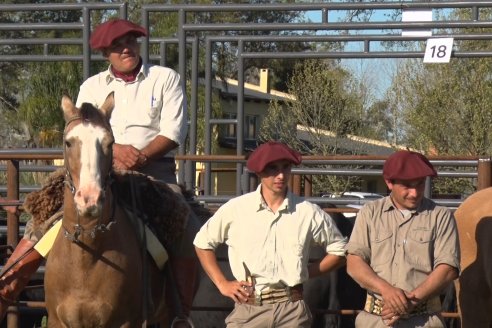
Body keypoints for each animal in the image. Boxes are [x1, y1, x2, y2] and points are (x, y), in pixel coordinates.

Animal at [40, 93, 184, 328]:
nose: (89, 199)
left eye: (110, 143)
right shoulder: (56, 321)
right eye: (68, 142)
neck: (86, 253)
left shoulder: (126, 322)